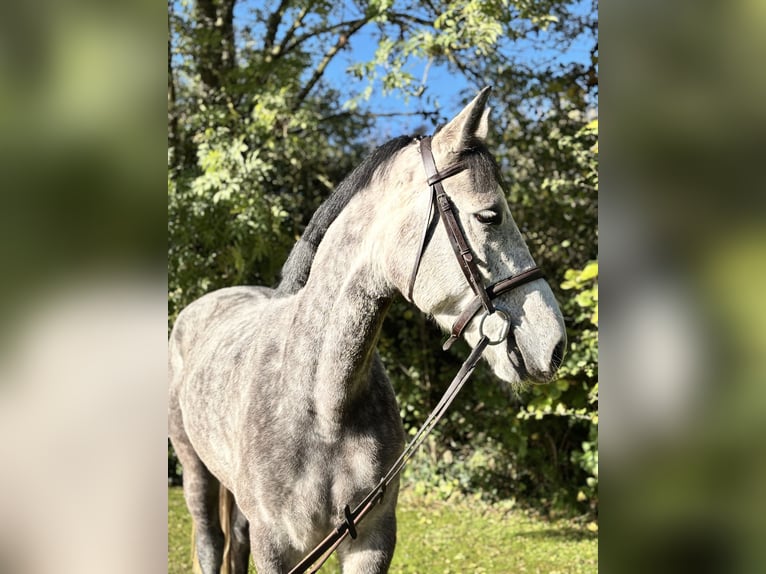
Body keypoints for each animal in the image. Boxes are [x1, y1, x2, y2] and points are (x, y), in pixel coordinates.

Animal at [168, 87, 567, 574]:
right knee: (211, 541)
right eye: (490, 216)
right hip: (194, 469)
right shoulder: (276, 544)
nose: (554, 344)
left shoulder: (373, 538)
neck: (322, 405)